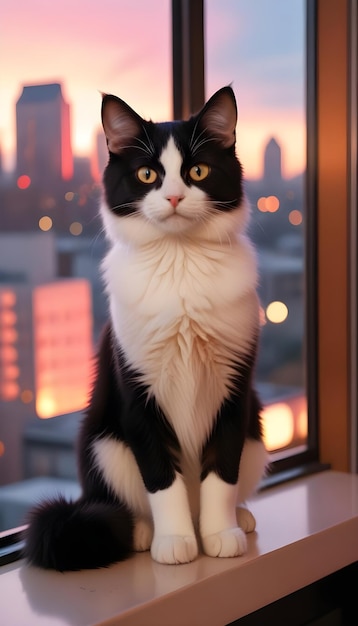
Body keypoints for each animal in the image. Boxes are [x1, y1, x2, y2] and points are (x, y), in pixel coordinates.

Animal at [23, 85, 268, 568]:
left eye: (197, 170)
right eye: (147, 173)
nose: (173, 197)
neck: (180, 259)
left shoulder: (235, 389)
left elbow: (221, 472)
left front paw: (220, 533)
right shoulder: (137, 391)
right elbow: (160, 476)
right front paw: (175, 542)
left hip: (256, 432)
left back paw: (239, 517)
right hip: (102, 441)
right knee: (123, 498)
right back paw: (143, 531)